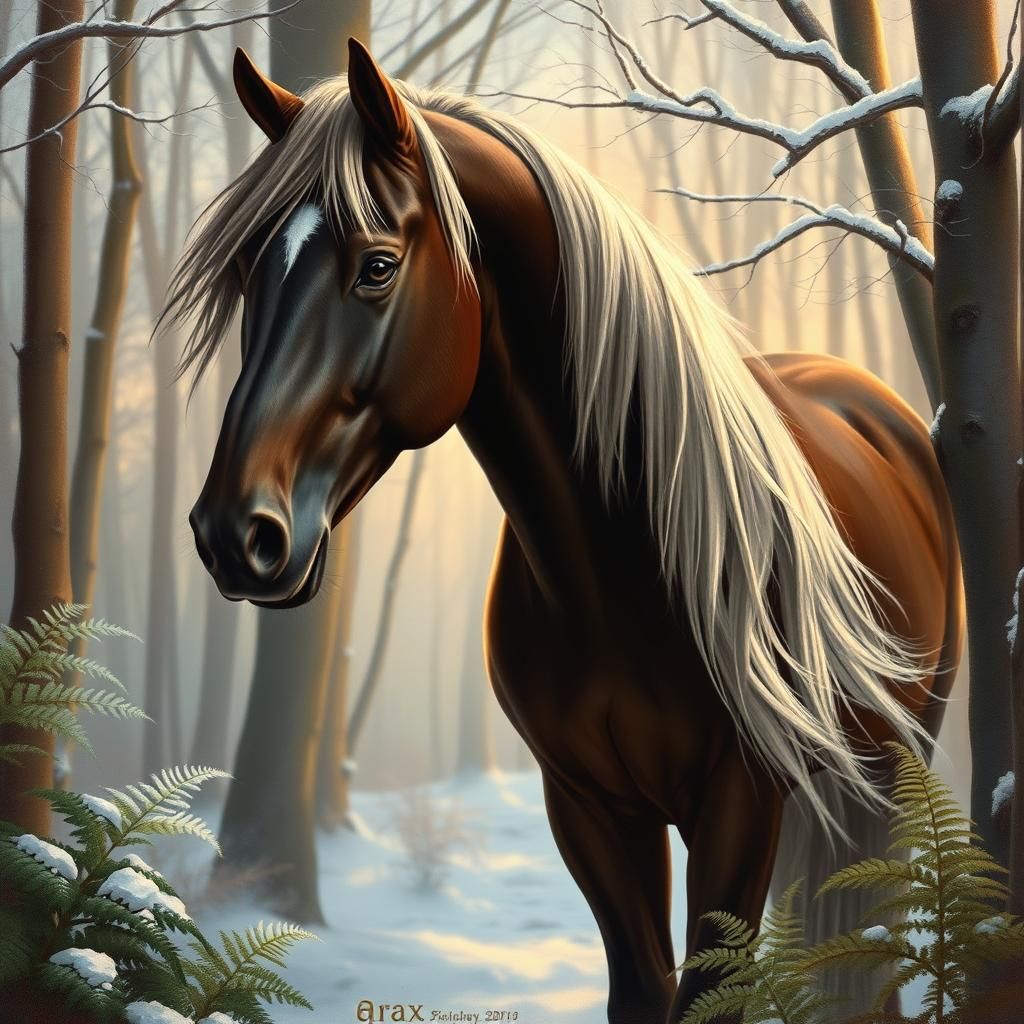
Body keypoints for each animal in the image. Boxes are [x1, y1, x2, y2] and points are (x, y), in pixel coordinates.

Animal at [165, 41, 964, 1024]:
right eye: (248, 271)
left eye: (377, 266)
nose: (233, 531)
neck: (628, 571)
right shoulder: (587, 805)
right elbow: (640, 987)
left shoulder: (741, 799)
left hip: (891, 768)